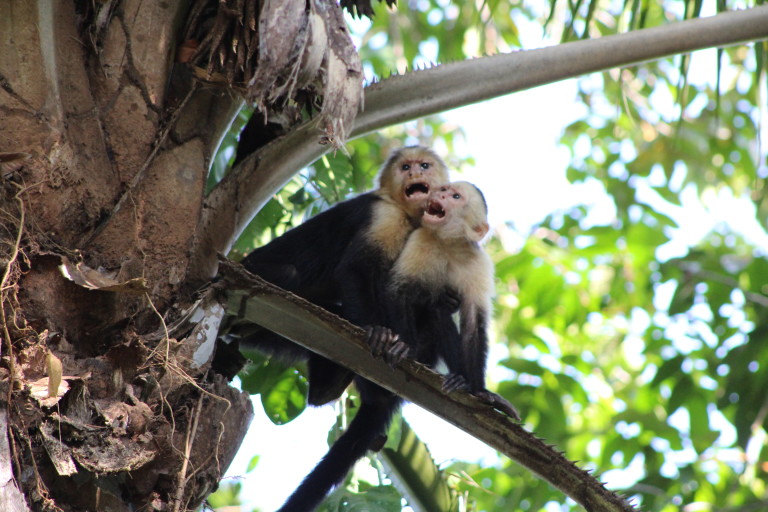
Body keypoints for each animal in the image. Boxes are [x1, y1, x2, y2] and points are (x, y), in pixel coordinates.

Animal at [236, 146, 451, 406]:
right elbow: (356, 268)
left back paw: (328, 387)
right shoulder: (385, 214)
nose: (414, 174)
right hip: (251, 273)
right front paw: (377, 331)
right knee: (289, 274)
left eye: (424, 166)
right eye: (405, 167)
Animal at [275, 182, 516, 512]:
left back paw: (459, 381)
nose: (440, 195)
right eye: (445, 190)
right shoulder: (420, 240)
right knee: (431, 310)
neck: (448, 243)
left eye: (455, 196)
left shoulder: (477, 262)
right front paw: (405, 349)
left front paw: (481, 393)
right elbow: (397, 290)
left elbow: (473, 323)